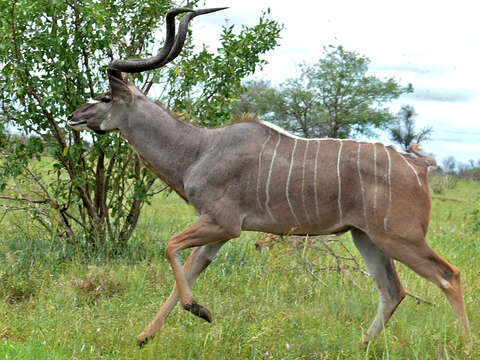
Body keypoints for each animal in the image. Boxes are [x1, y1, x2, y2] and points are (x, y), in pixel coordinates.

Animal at [66, 7, 468, 346]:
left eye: (105, 97)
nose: (73, 116)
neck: (199, 149)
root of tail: (419, 167)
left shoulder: (223, 224)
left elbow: (170, 247)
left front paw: (200, 311)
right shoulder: (216, 232)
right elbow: (190, 269)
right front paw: (146, 336)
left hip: (399, 237)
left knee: (448, 276)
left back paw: (463, 345)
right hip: (366, 236)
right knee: (392, 291)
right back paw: (361, 345)